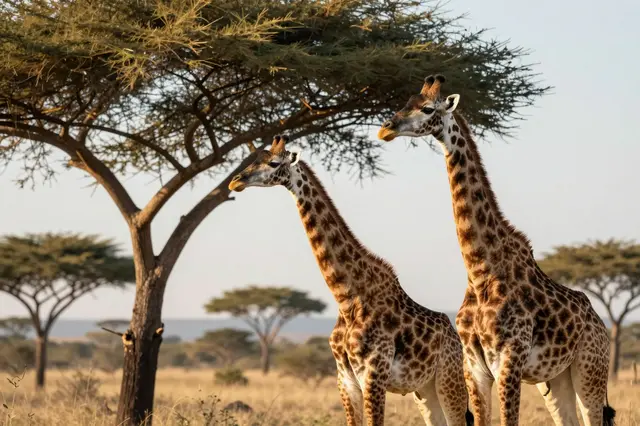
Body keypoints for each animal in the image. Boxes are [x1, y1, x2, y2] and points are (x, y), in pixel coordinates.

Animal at [229, 135, 473, 426]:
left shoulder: (373, 375)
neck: (346, 297)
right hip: (423, 389)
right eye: (254, 158)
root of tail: (455, 337)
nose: (235, 181)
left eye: (273, 163)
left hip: (449, 380)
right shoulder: (345, 379)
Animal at [377, 75, 616, 426]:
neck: (480, 270)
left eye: (428, 108)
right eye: (406, 101)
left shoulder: (509, 361)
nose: (386, 129)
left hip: (590, 370)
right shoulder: (475, 368)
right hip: (555, 378)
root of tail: (601, 325)